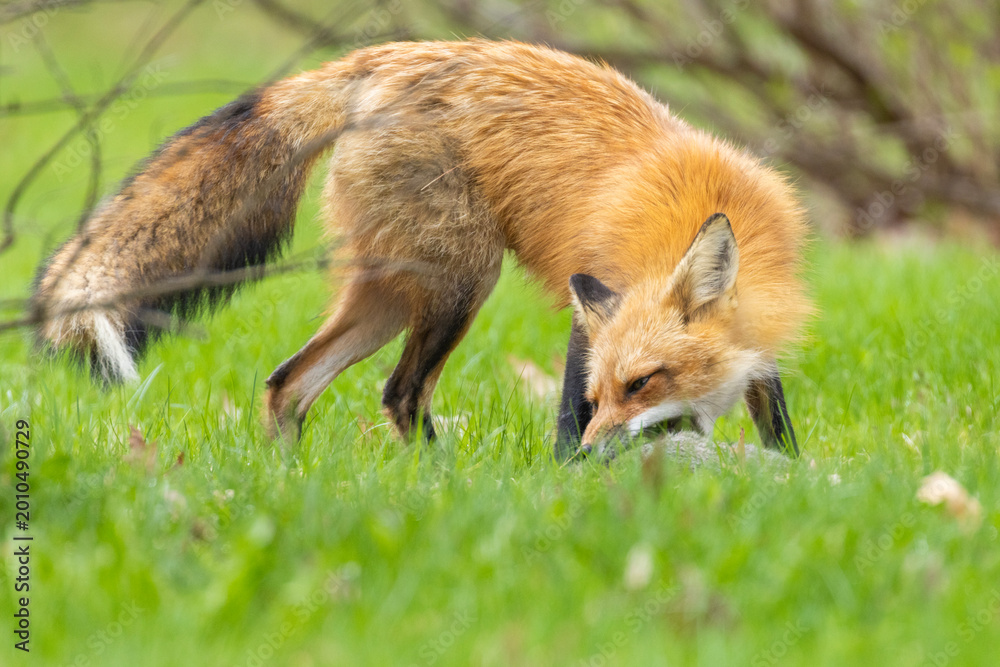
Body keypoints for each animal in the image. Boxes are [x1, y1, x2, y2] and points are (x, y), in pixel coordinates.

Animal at [31, 39, 810, 459]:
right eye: (607, 391)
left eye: (645, 382)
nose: (596, 453)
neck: (712, 203)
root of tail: (384, 57)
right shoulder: (587, 325)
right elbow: (564, 417)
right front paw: (568, 479)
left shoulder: (758, 341)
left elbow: (778, 428)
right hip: (458, 283)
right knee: (399, 393)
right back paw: (448, 480)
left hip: (387, 297)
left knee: (287, 383)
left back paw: (292, 482)